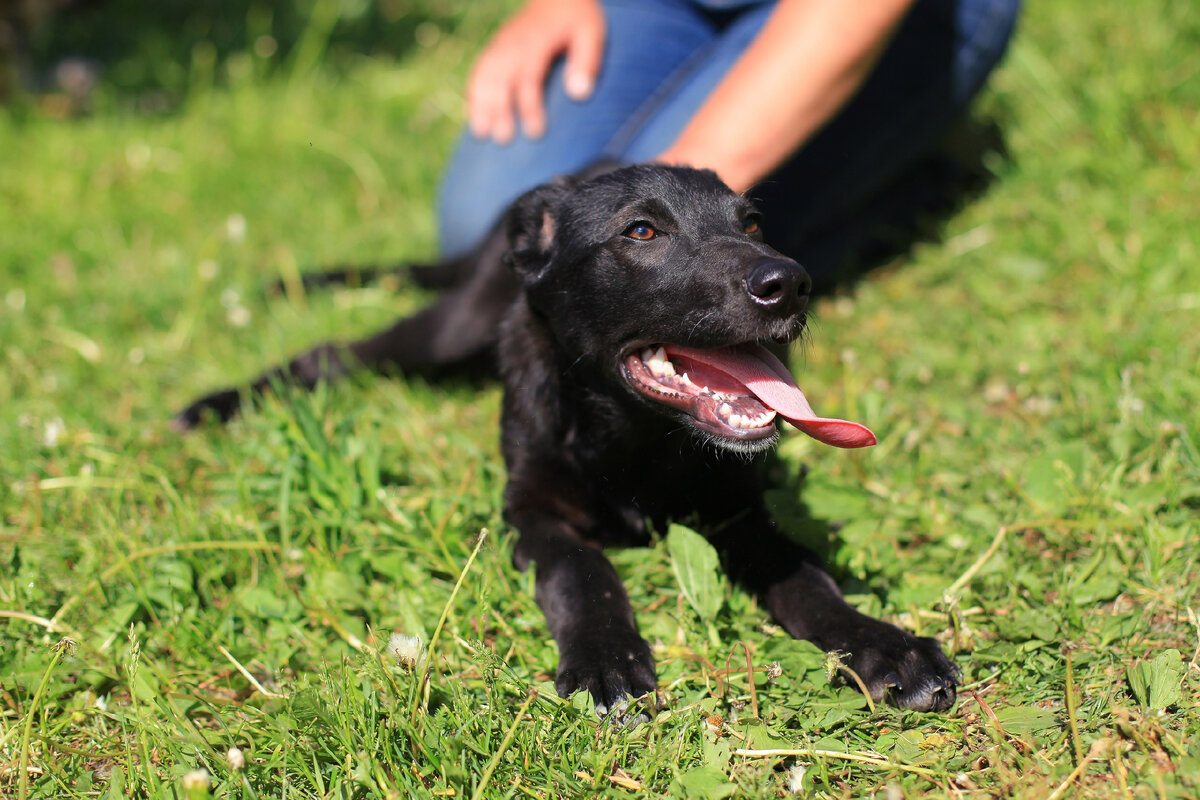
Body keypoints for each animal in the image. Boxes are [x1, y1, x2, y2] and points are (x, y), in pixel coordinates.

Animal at [177, 165, 960, 714]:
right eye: (641, 232)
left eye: (755, 223)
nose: (792, 284)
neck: (636, 444)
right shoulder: (533, 512)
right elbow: (584, 572)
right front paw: (607, 660)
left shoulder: (739, 514)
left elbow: (806, 578)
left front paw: (885, 646)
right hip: (454, 328)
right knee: (335, 354)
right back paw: (214, 406)